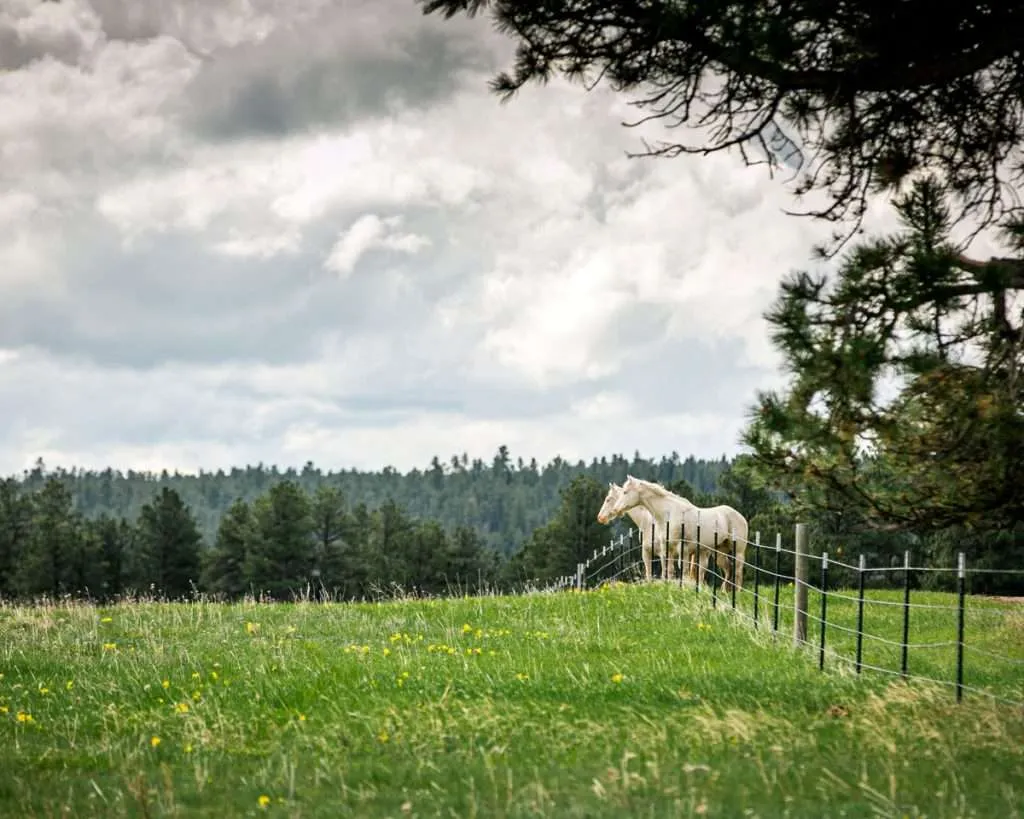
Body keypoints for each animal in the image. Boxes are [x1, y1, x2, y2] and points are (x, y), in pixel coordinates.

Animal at [609, 476, 749, 591]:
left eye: (625, 492)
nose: (616, 510)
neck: (669, 514)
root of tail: (740, 516)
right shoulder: (667, 549)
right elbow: (669, 569)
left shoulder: (683, 549)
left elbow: (683, 570)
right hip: (719, 551)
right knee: (727, 568)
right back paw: (724, 591)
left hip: (738, 551)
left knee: (738, 570)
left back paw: (737, 592)